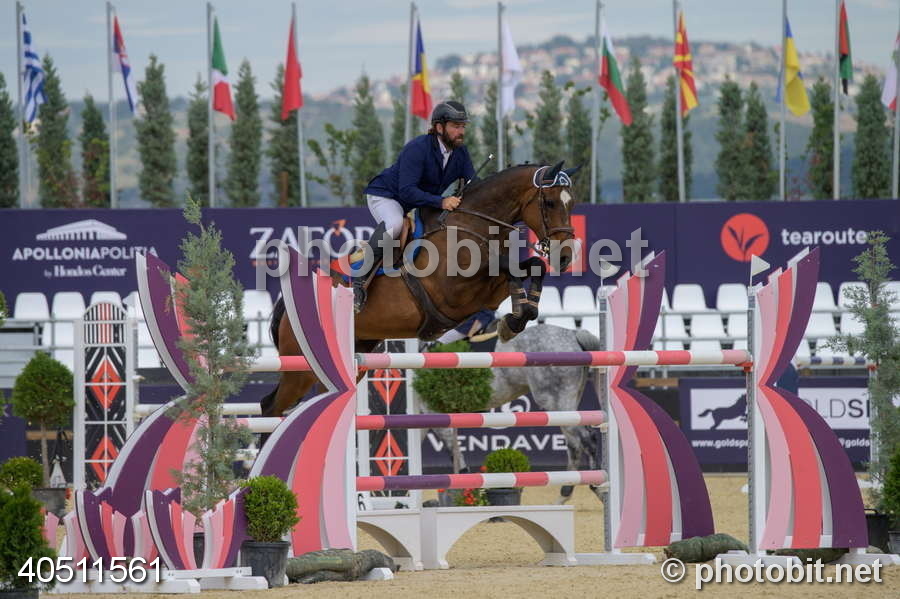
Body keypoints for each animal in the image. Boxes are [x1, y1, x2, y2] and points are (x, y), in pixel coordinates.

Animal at [261, 162, 580, 418]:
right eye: (550, 203)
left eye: (572, 203)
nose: (565, 257)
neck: (470, 224)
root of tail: (287, 306)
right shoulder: (455, 291)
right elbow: (510, 269)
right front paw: (513, 320)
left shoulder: (489, 291)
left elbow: (531, 266)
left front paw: (518, 317)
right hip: (301, 369)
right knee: (271, 407)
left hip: (356, 354)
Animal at [428, 324, 604, 504]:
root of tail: (572, 333)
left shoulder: (433, 413)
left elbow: (453, 452)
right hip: (567, 404)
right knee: (574, 445)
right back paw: (563, 496)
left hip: (555, 402)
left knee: (586, 439)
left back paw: (597, 488)